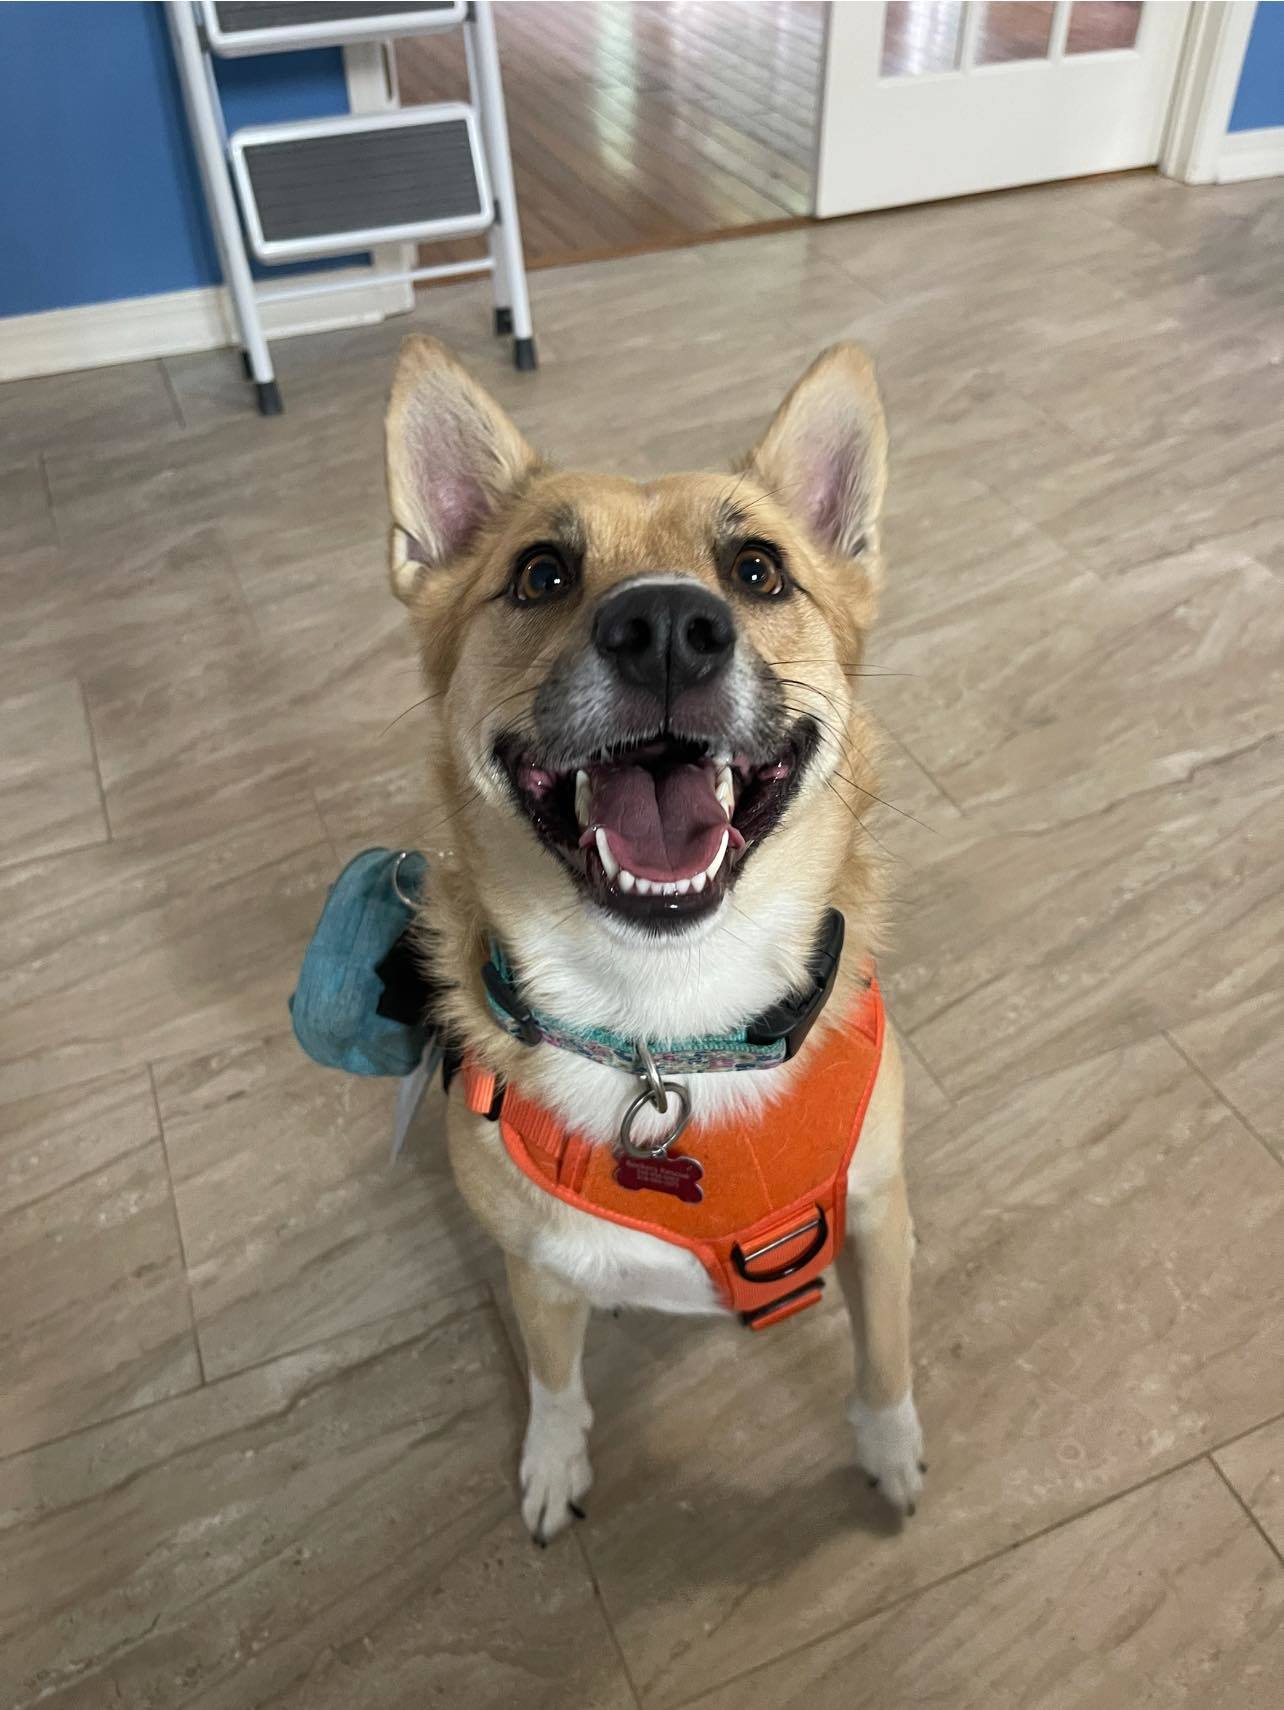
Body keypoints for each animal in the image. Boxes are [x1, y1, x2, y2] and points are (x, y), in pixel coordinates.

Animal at [381, 340, 923, 1545]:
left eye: (759, 570)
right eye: (540, 574)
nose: (669, 627)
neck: (667, 1025)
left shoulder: (877, 1219)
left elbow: (883, 1358)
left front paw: (888, 1448)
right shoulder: (536, 1273)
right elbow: (551, 1382)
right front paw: (552, 1463)